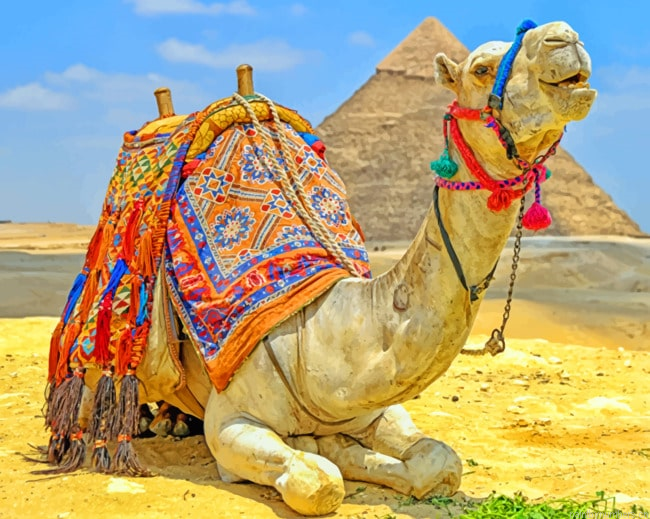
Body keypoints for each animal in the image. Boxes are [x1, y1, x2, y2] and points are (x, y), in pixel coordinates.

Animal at [46, 21, 596, 516]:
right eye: (481, 68)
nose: (565, 37)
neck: (321, 334)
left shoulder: (376, 406)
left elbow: (439, 462)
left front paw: (344, 448)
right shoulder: (231, 422)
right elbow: (320, 481)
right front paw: (325, 452)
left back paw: (172, 420)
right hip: (101, 346)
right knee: (95, 396)